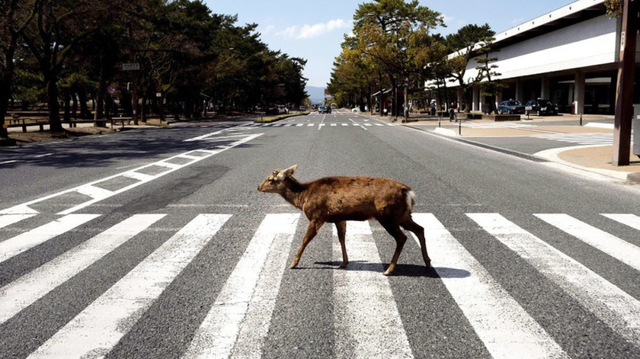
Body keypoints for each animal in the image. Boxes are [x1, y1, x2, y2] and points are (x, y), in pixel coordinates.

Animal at [258, 165, 432, 278]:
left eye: (271, 179)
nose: (259, 187)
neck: (303, 197)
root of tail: (408, 193)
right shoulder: (339, 218)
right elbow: (341, 238)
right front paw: (344, 263)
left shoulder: (317, 215)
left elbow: (305, 239)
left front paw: (293, 263)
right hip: (403, 215)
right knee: (420, 229)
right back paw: (428, 262)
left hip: (387, 215)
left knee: (402, 237)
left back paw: (389, 270)